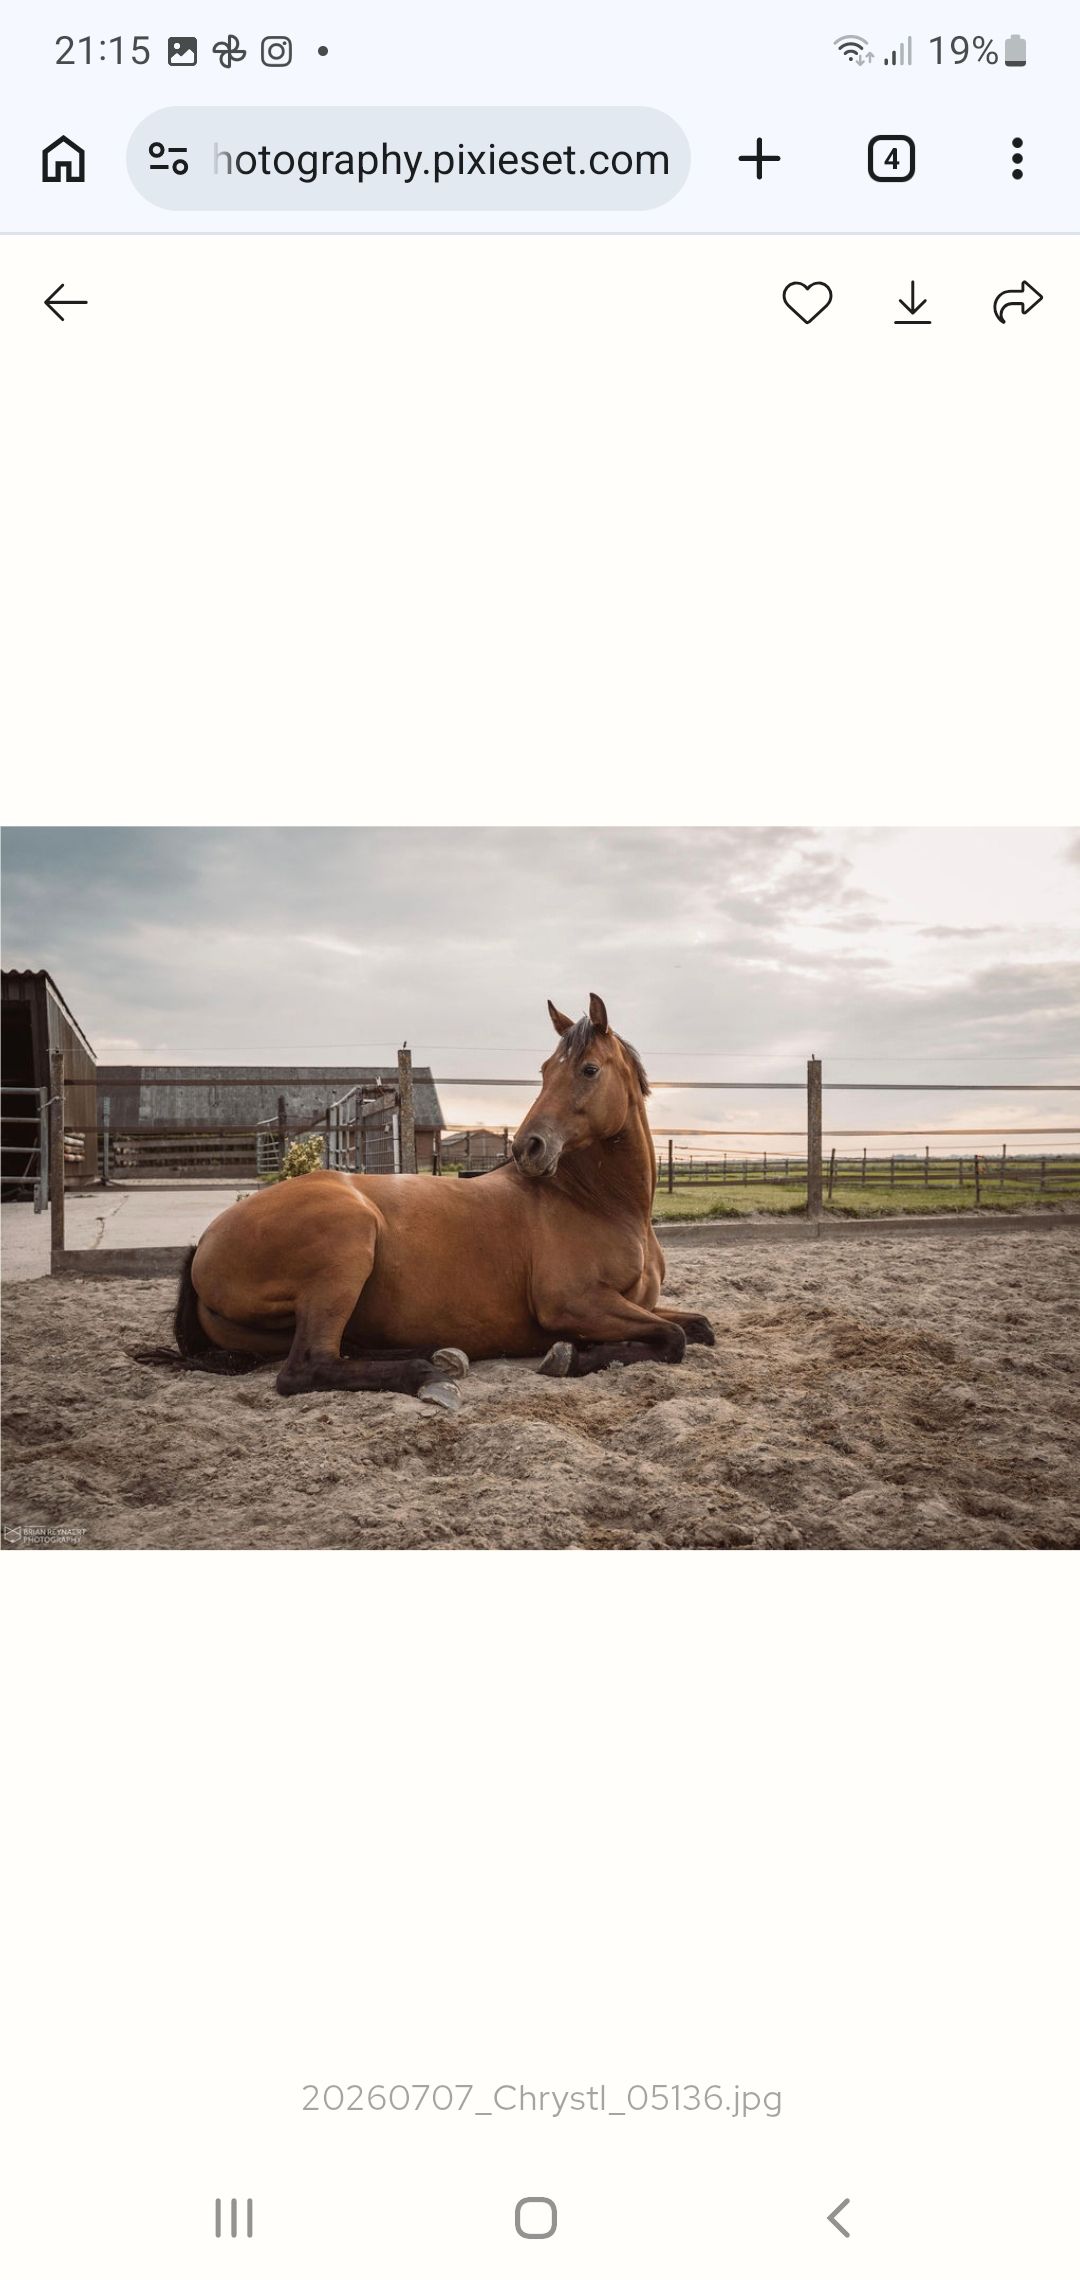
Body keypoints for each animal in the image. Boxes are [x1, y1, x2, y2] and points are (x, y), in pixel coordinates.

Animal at [168, 994, 715, 1398]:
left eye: (589, 1070)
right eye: (544, 1070)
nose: (528, 1147)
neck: (601, 1205)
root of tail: (205, 1242)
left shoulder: (633, 1305)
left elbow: (698, 1325)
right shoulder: (573, 1305)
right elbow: (674, 1338)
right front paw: (567, 1356)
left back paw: (434, 1353)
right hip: (347, 1246)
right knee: (306, 1368)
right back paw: (426, 1373)